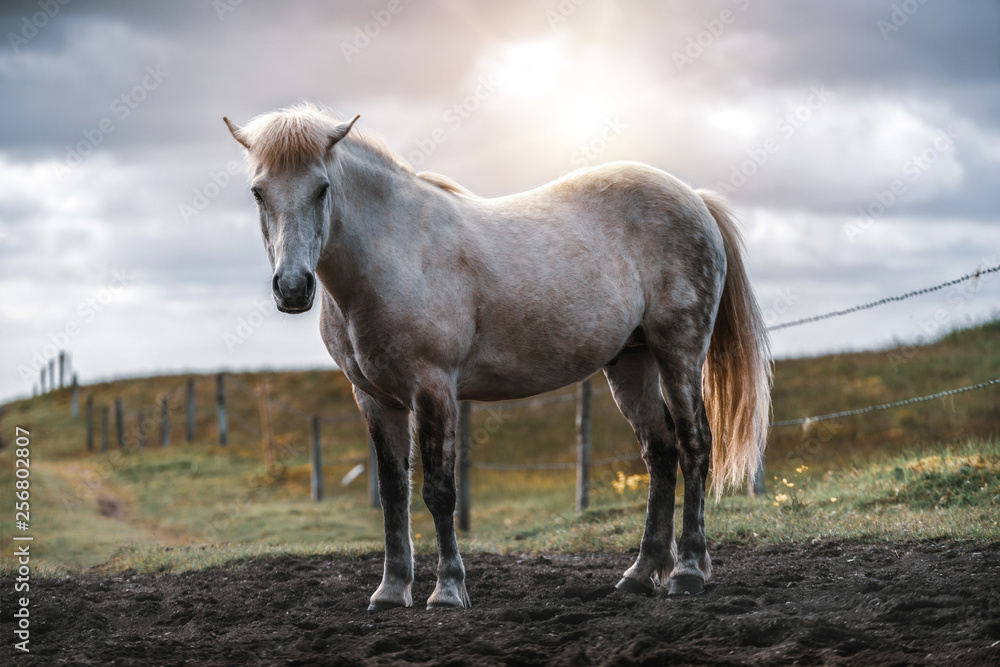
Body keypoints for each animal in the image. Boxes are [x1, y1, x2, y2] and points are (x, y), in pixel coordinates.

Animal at [225, 104, 772, 612]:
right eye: (258, 192)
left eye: (321, 188)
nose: (292, 287)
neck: (393, 253)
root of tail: (694, 199)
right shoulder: (375, 399)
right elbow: (393, 493)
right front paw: (392, 590)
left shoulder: (433, 389)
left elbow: (438, 491)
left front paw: (447, 591)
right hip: (631, 362)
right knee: (660, 453)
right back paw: (639, 575)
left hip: (679, 351)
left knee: (695, 445)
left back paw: (687, 572)